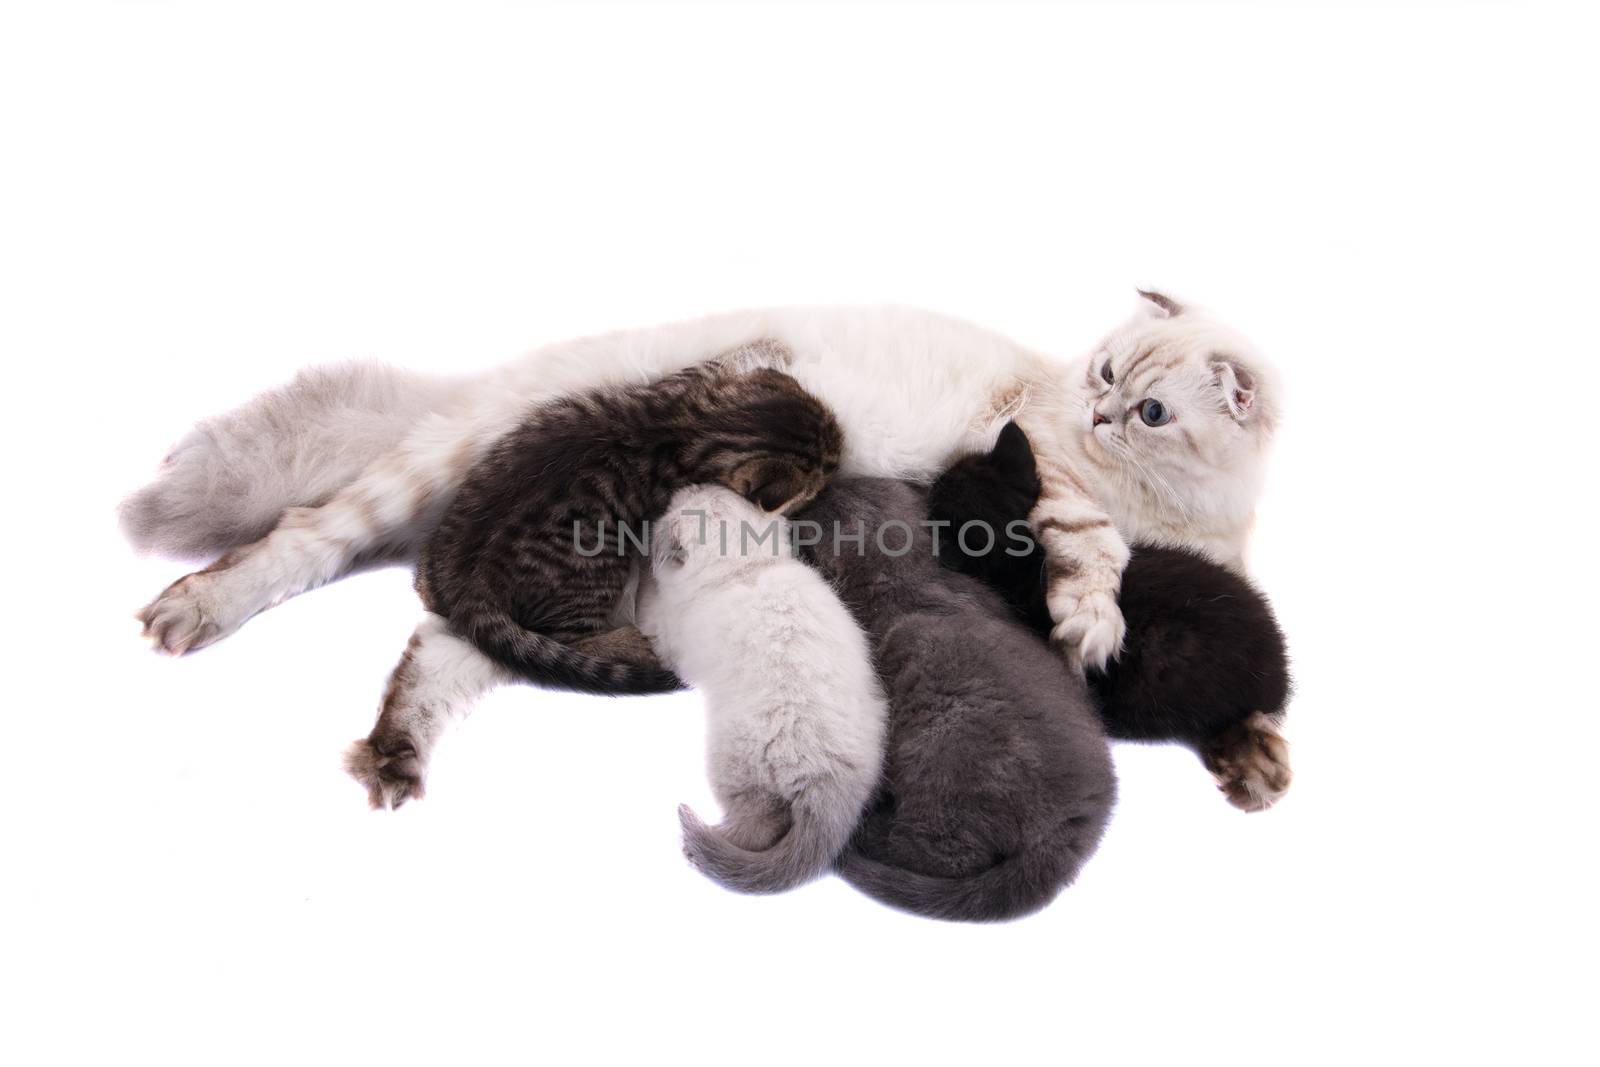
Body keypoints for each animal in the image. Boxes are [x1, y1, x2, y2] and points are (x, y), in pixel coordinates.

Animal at [796, 479, 1120, 921]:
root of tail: (1070, 831)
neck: (910, 580)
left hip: (945, 744)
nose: (813, 494)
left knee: (936, 850)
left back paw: (868, 829)